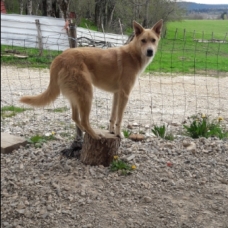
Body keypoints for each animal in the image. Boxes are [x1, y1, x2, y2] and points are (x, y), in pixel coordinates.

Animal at [19, 19, 162, 140]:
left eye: (153, 40)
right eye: (143, 40)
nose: (150, 51)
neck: (133, 54)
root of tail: (60, 57)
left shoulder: (117, 94)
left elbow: (113, 116)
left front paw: (111, 131)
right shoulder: (125, 94)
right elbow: (119, 118)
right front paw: (118, 134)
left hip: (76, 96)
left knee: (75, 118)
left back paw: (88, 132)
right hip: (87, 93)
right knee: (84, 120)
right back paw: (95, 135)